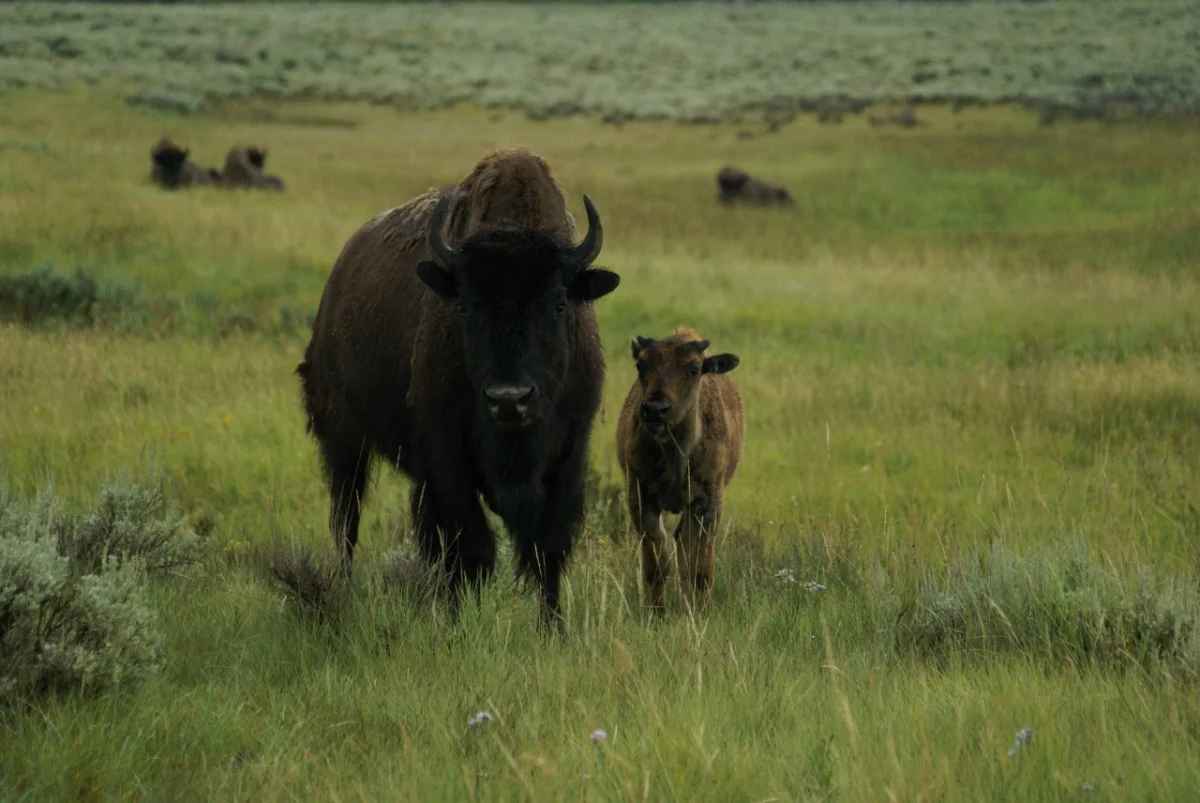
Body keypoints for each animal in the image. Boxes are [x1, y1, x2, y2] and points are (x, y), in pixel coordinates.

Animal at [297, 147, 619, 628]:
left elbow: (548, 549)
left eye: (559, 303)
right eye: (466, 306)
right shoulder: (448, 455)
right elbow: (471, 548)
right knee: (346, 520)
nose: (509, 400)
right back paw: (345, 592)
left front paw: (553, 629)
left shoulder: (570, 452)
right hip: (343, 439)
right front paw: (458, 625)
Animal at [614, 326, 744, 607]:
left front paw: (700, 611)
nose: (656, 410)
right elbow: (656, 566)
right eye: (640, 365)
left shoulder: (707, 500)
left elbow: (700, 569)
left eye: (694, 368)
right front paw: (656, 612)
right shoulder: (640, 497)